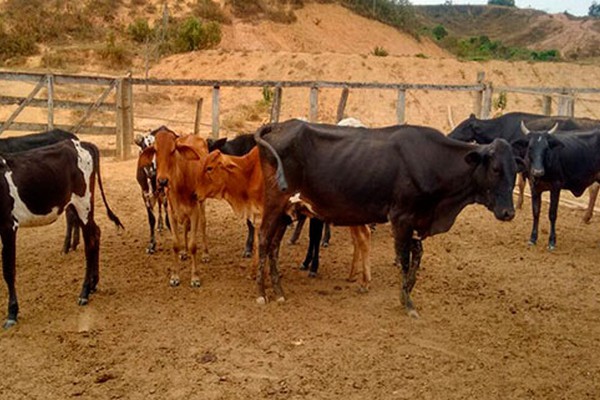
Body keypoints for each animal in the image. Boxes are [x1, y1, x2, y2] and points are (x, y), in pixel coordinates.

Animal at [0, 139, 124, 326]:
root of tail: (80, 143)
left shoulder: (8, 225)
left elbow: (8, 270)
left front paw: (12, 313)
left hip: (83, 203)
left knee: (90, 243)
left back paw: (84, 292)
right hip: (78, 206)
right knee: (96, 233)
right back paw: (93, 284)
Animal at [253, 119, 520, 316]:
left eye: (515, 171)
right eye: (495, 169)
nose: (508, 212)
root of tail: (279, 125)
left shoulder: (417, 221)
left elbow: (416, 257)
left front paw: (407, 293)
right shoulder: (401, 217)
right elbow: (404, 260)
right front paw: (407, 303)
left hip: (287, 212)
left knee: (274, 245)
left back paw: (279, 291)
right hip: (275, 204)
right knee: (264, 240)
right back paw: (262, 293)